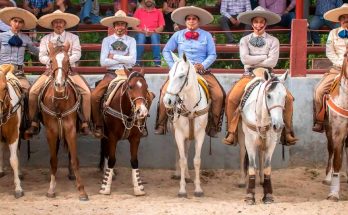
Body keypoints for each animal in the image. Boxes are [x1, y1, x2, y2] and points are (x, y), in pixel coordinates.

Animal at [39, 42, 88, 201]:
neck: (59, 101)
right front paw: (51, 189)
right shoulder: (51, 132)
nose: (59, 84)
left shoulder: (71, 129)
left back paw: (71, 175)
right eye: (51, 61)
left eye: (67, 61)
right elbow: (53, 160)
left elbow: (75, 159)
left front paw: (82, 190)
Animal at [98, 68, 152, 196]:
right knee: (105, 149)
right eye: (130, 87)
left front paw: (138, 187)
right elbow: (112, 159)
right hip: (104, 133)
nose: (142, 111)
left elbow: (134, 161)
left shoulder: (135, 138)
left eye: (146, 87)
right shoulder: (112, 136)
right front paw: (105, 186)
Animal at [162, 52, 208, 198]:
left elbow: (197, 160)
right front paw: (182, 190)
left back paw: (187, 176)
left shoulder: (200, 135)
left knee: (187, 151)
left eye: (181, 76)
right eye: (169, 75)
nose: (167, 100)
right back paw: (179, 175)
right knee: (179, 151)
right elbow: (182, 160)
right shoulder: (179, 134)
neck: (191, 107)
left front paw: (198, 189)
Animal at [239, 69, 288, 204]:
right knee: (242, 154)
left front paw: (268, 195)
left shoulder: (271, 143)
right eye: (269, 95)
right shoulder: (249, 142)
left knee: (260, 154)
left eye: (285, 96)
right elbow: (251, 166)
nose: (278, 125)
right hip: (242, 137)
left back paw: (260, 180)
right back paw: (242, 181)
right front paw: (250, 196)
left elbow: (267, 167)